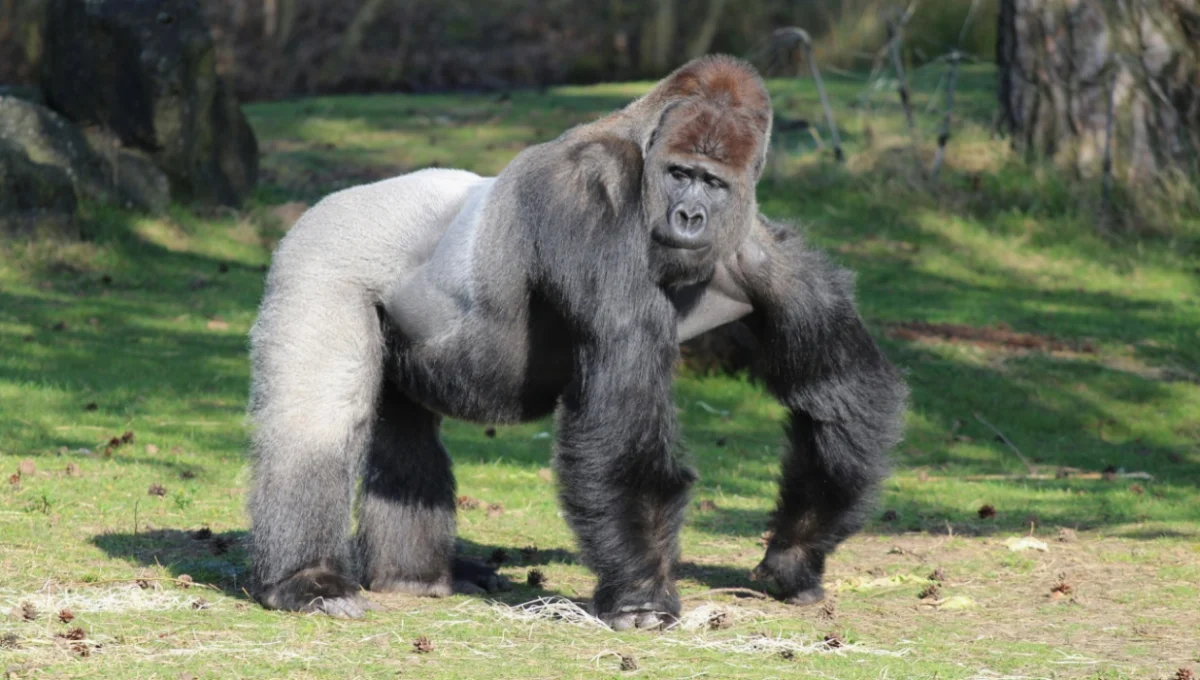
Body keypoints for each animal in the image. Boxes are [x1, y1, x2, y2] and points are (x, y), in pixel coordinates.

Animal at [246, 55, 907, 629]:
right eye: (680, 174)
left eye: (713, 184)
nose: (690, 217)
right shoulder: (593, 188)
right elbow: (621, 415)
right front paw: (641, 593)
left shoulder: (768, 257)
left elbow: (840, 394)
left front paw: (793, 555)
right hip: (323, 249)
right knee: (318, 416)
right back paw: (308, 579)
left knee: (407, 438)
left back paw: (413, 576)